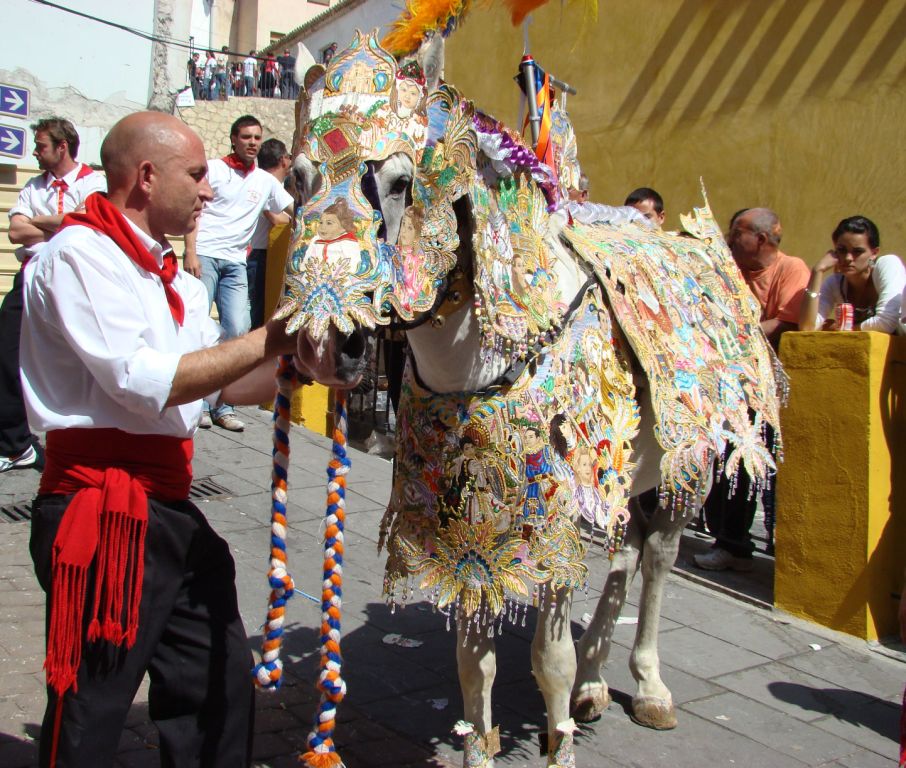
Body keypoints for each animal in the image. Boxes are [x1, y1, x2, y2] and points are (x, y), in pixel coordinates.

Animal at [270, 7, 784, 768]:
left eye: (399, 181)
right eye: (298, 178)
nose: (322, 342)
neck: (489, 356)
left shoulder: (549, 527)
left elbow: (549, 661)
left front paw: (560, 733)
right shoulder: (463, 521)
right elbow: (471, 661)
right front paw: (483, 742)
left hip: (684, 463)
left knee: (657, 558)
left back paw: (647, 687)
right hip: (621, 473)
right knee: (625, 553)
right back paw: (599, 683)